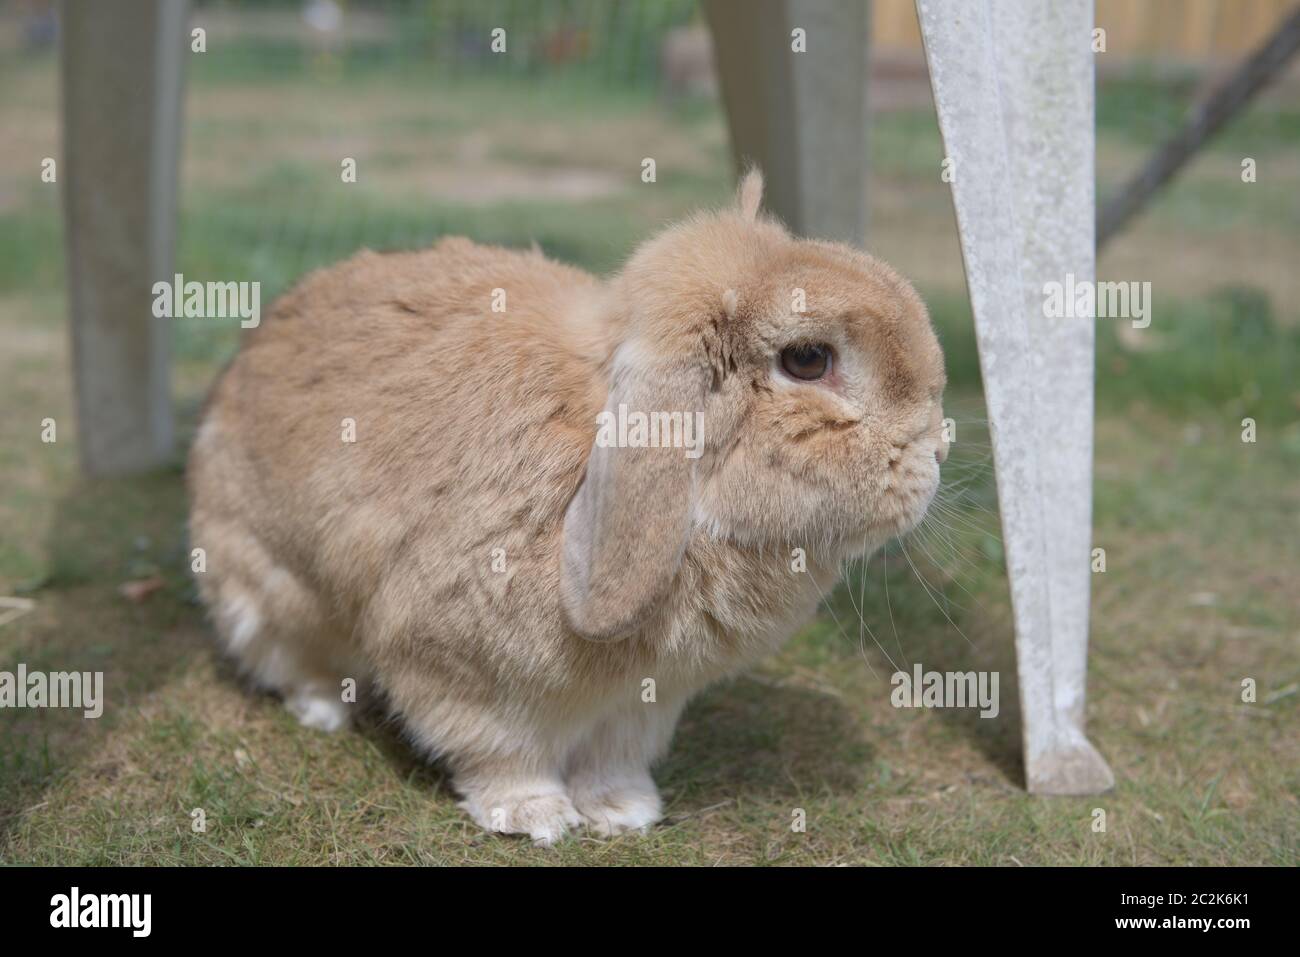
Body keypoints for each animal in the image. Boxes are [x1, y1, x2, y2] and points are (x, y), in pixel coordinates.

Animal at [188, 171, 951, 842]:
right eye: (808, 359)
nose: (937, 447)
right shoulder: (461, 673)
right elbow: (502, 753)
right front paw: (536, 818)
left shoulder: (640, 705)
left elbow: (612, 758)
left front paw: (622, 812)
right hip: (268, 588)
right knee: (288, 655)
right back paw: (324, 710)